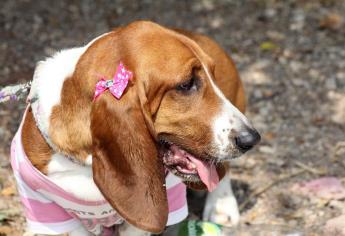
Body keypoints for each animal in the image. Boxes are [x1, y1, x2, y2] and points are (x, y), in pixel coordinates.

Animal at [9, 21, 260, 235]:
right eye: (186, 84)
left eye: (212, 75)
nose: (252, 138)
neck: (86, 163)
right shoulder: (48, 211)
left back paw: (222, 206)